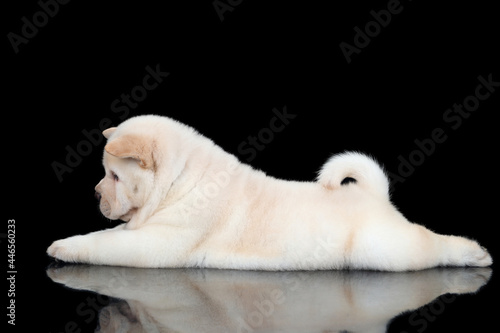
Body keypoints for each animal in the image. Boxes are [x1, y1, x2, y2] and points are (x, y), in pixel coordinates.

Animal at [47, 114, 492, 270]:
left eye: (113, 176)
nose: (94, 194)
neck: (180, 182)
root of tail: (375, 196)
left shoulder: (158, 243)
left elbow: (103, 243)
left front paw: (64, 246)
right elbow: (108, 234)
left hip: (383, 248)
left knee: (429, 245)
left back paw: (473, 253)